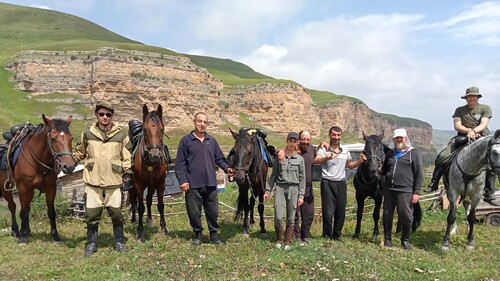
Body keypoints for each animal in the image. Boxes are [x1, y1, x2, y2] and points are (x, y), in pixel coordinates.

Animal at [0, 115, 76, 244]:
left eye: (71, 138)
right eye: (53, 138)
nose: (69, 166)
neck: (38, 160)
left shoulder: (51, 188)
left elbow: (51, 212)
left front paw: (55, 236)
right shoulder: (24, 188)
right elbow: (23, 212)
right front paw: (22, 238)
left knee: (26, 208)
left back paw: (27, 230)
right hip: (6, 188)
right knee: (13, 206)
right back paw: (16, 230)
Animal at [128, 103, 169, 241]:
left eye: (161, 129)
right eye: (145, 129)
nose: (155, 155)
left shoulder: (160, 184)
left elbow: (160, 205)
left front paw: (164, 228)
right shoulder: (138, 185)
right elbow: (140, 207)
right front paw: (140, 231)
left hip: (151, 186)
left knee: (149, 199)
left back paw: (150, 220)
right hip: (131, 186)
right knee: (133, 201)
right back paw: (133, 221)